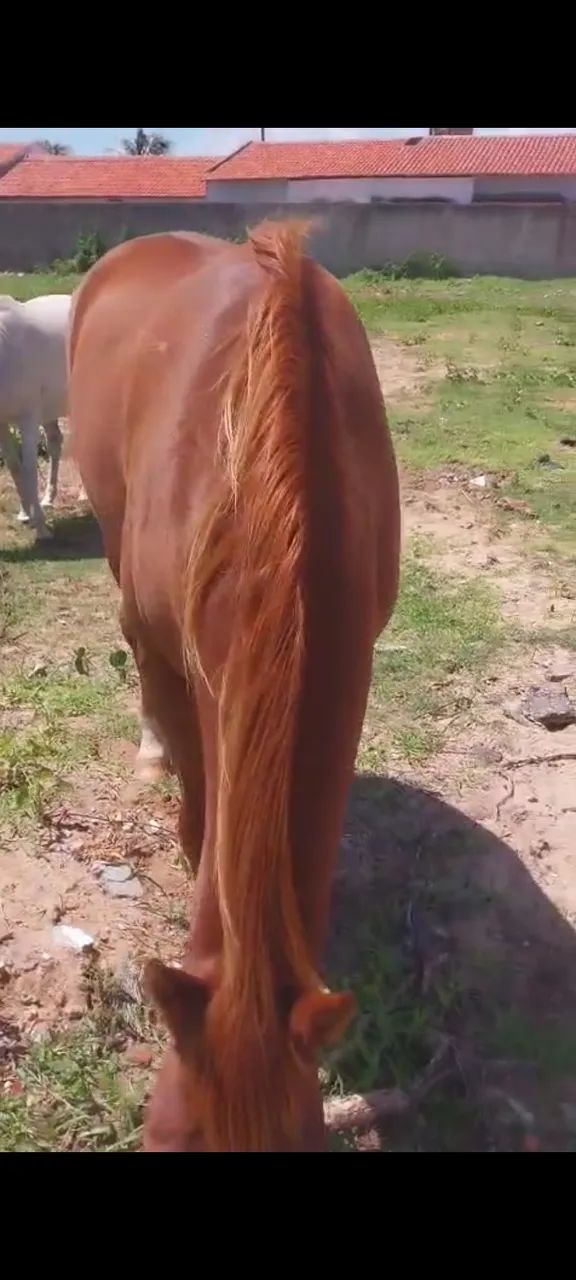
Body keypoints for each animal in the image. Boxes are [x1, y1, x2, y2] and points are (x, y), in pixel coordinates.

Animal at [0, 293, 71, 538]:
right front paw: (25, 513)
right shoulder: (2, 424)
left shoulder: (28, 419)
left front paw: (41, 527)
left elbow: (29, 468)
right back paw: (48, 498)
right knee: (55, 443)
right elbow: (14, 466)